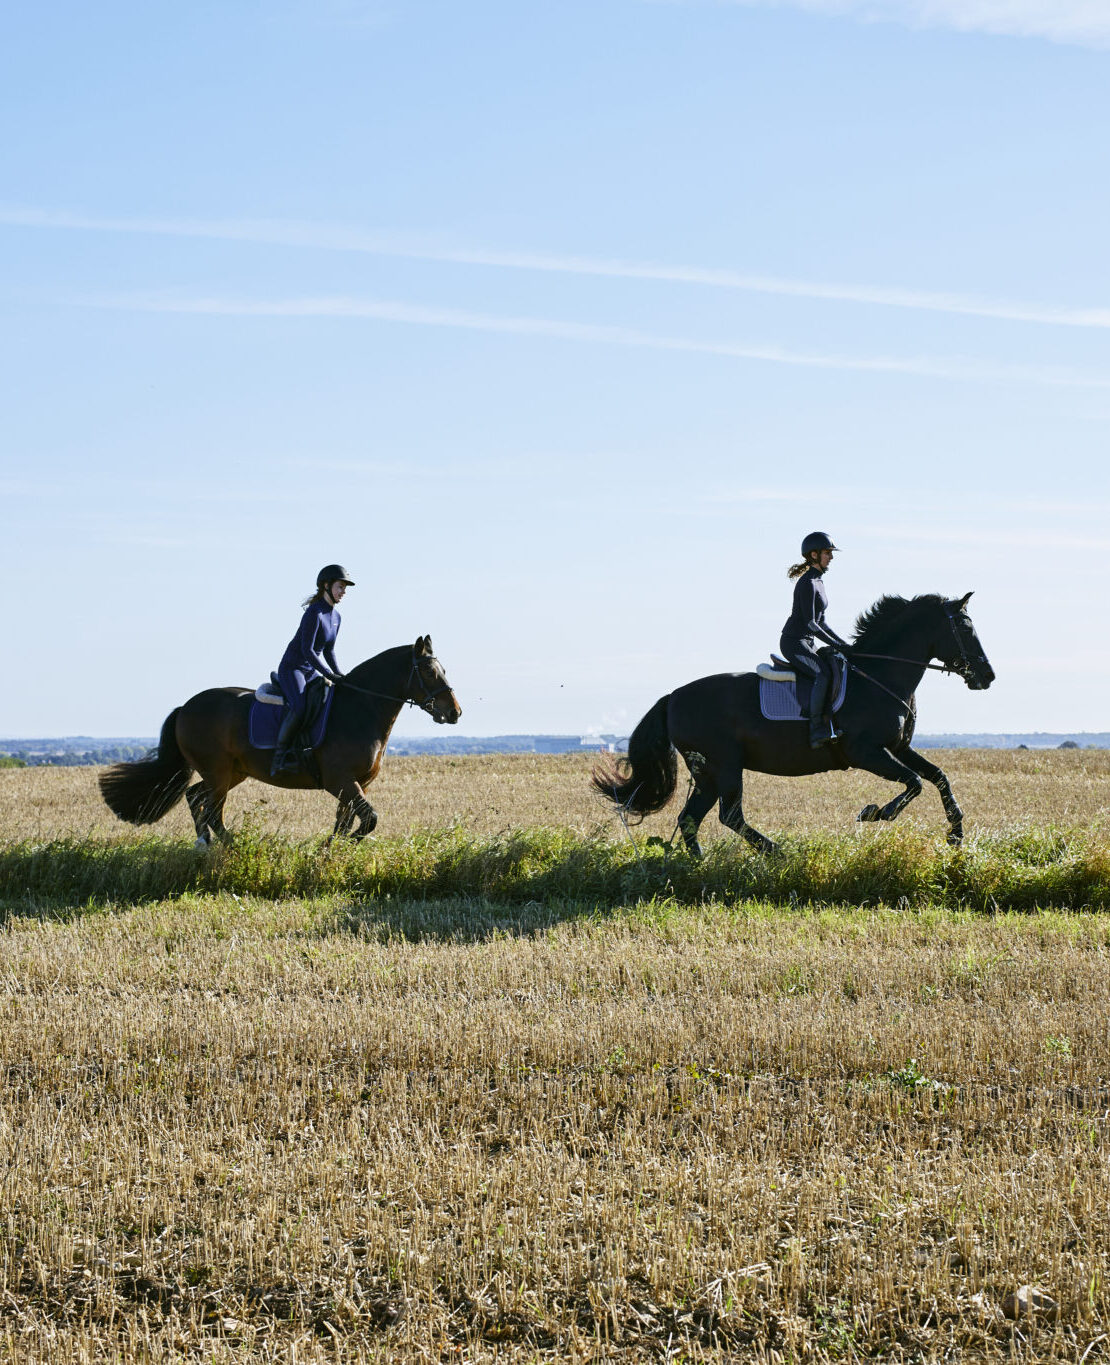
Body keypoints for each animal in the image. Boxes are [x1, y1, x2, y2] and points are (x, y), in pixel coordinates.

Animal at [99, 636, 461, 845]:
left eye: (443, 670)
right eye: (430, 672)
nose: (454, 712)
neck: (360, 709)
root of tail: (185, 707)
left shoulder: (357, 783)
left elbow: (345, 822)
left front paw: (331, 852)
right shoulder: (340, 781)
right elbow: (368, 820)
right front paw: (339, 847)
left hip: (232, 772)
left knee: (194, 796)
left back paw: (208, 843)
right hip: (218, 771)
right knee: (210, 808)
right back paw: (230, 846)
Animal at [594, 593, 994, 855]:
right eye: (966, 627)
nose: (987, 676)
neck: (880, 675)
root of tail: (673, 696)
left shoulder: (898, 747)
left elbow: (938, 777)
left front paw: (956, 834)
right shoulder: (866, 751)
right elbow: (914, 783)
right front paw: (875, 813)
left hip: (707, 772)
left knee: (691, 818)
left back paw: (699, 867)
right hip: (724, 764)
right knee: (729, 815)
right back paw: (776, 852)